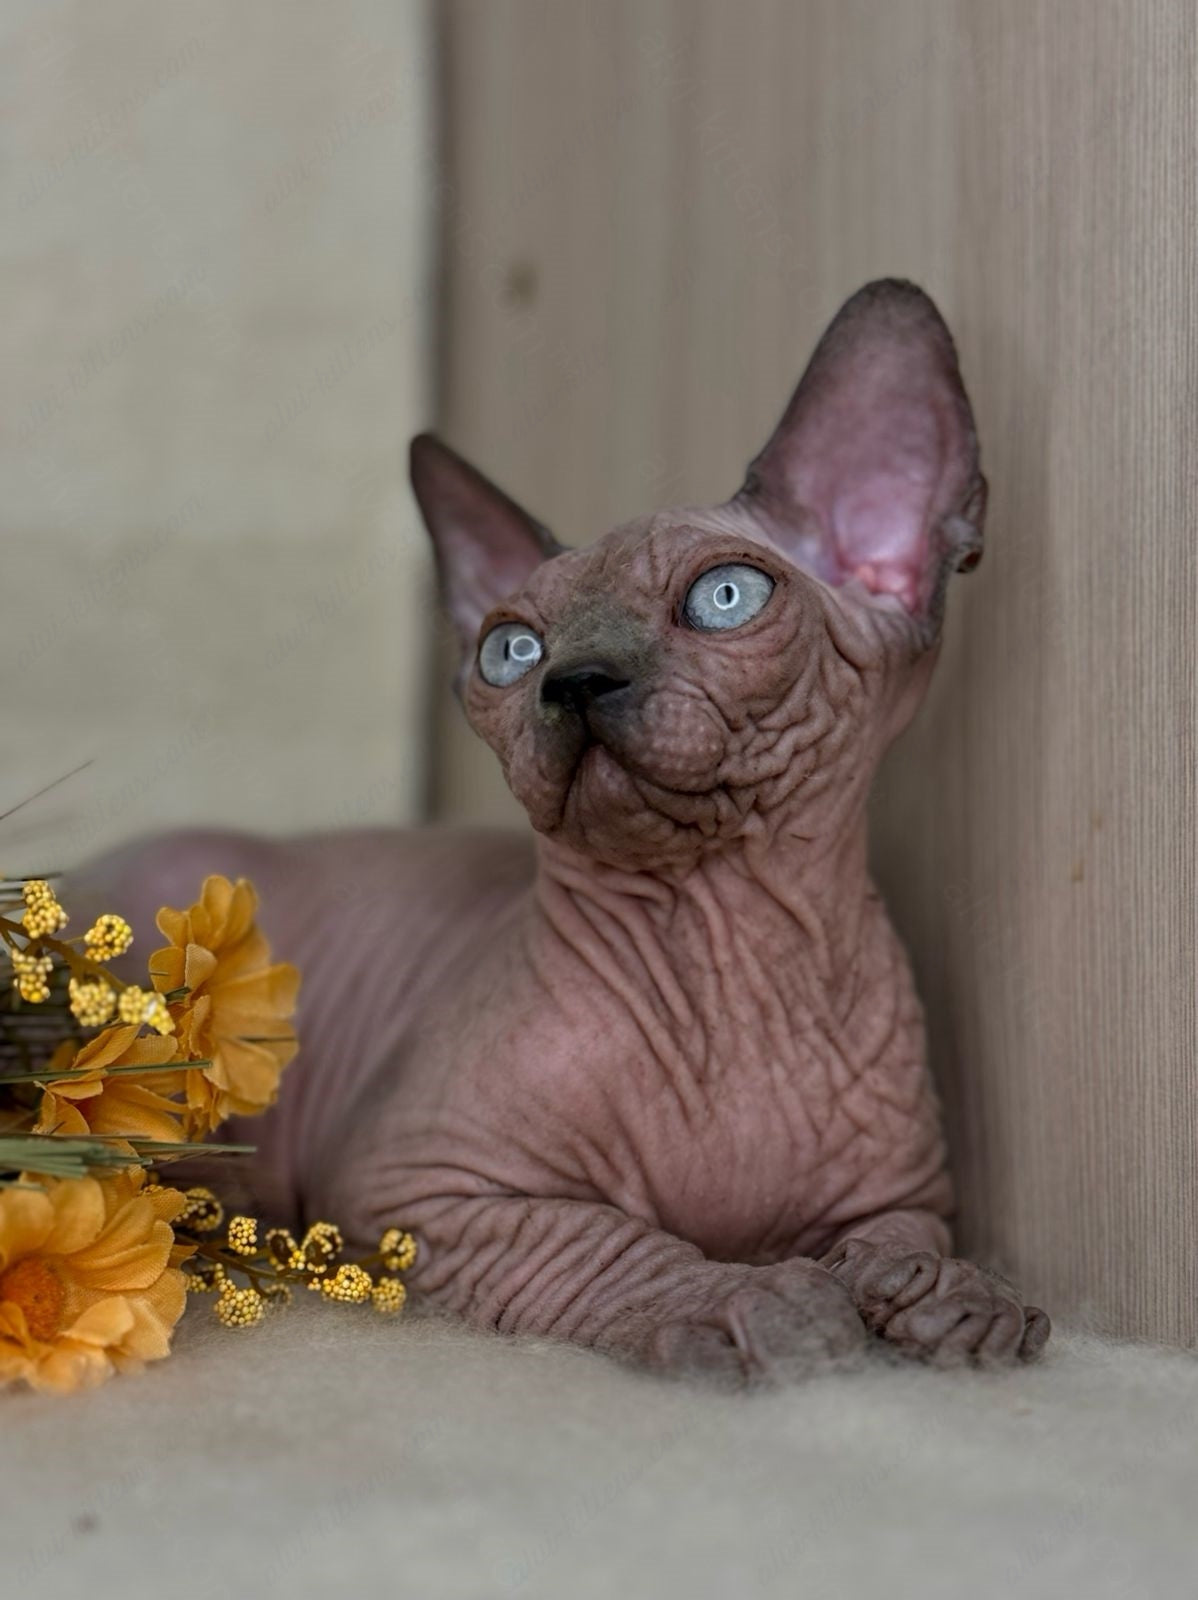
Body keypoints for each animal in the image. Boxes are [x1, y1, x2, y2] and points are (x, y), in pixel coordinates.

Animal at [91, 281, 1049, 1382]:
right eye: (511, 649)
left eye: (726, 597)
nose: (575, 681)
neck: (731, 964)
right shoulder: (418, 1186)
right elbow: (607, 1241)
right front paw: (749, 1302)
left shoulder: (908, 1198)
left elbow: (906, 1244)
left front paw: (954, 1297)